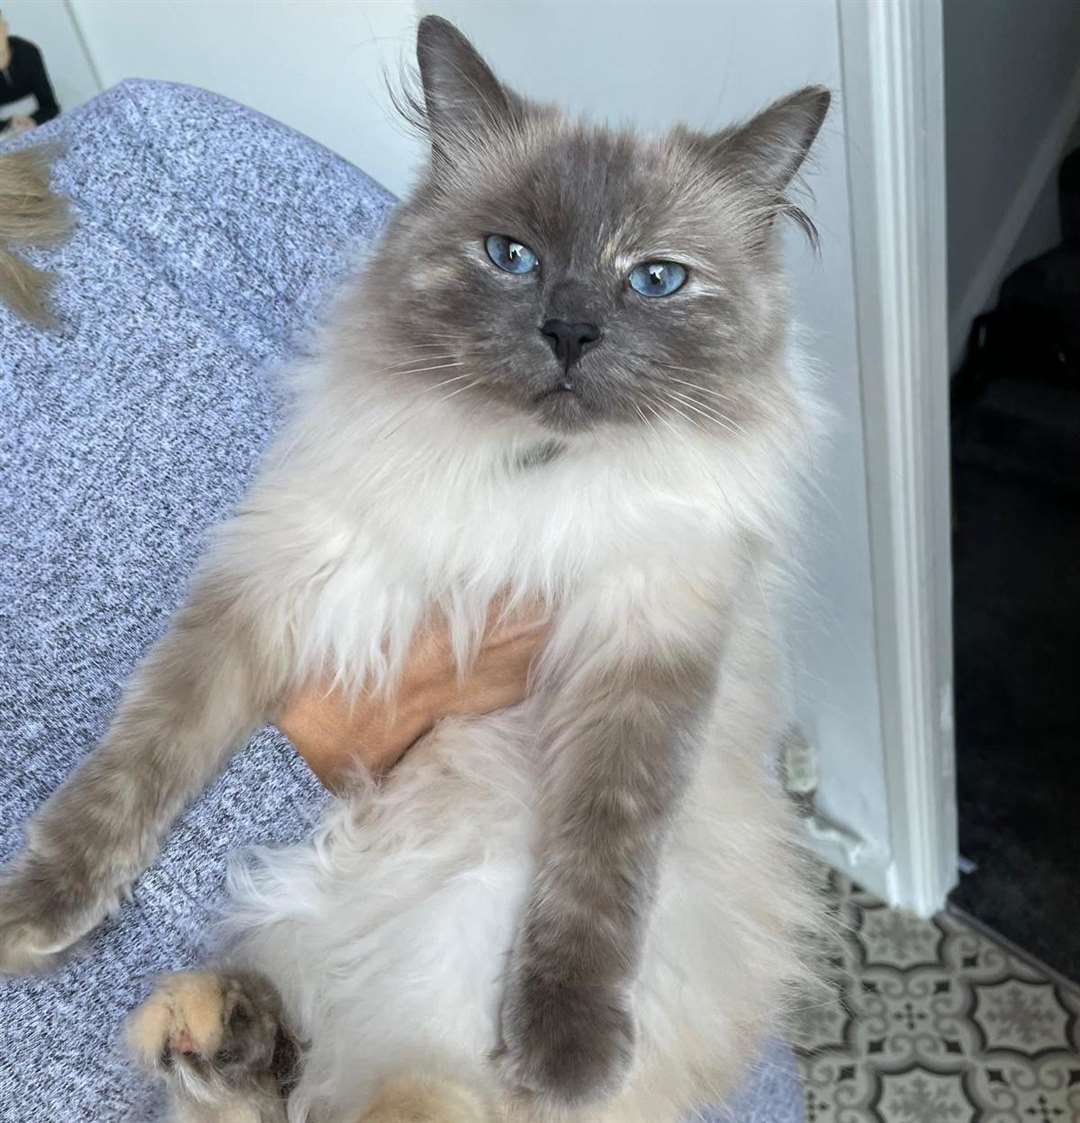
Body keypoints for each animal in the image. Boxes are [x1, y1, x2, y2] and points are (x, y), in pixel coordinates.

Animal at [0, 15, 826, 1123]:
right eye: (511, 257)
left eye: (655, 279)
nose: (570, 332)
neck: (533, 471)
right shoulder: (293, 579)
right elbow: (137, 763)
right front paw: (35, 914)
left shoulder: (641, 647)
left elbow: (599, 868)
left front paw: (565, 1047)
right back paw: (221, 1030)